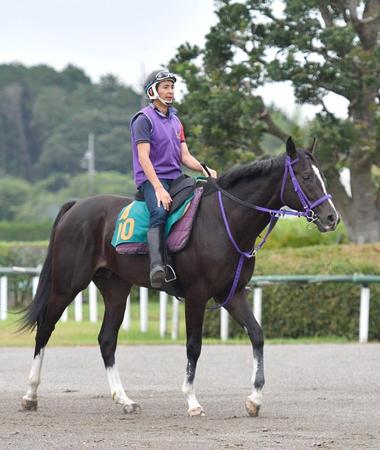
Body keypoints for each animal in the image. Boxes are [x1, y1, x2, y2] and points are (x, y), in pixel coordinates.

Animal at [20, 138, 338, 418]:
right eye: (307, 177)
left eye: (322, 177)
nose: (332, 217)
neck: (223, 221)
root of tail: (76, 206)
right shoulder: (197, 296)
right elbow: (193, 346)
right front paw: (192, 401)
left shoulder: (232, 294)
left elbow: (257, 335)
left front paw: (255, 399)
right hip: (67, 285)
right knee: (45, 329)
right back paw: (30, 395)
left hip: (116, 290)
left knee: (106, 340)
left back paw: (124, 400)